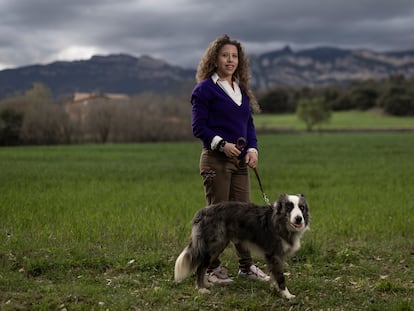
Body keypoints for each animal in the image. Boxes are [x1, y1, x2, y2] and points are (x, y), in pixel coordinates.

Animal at [175, 195, 310, 300]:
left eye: (301, 207)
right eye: (289, 207)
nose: (299, 219)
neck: (280, 222)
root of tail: (202, 211)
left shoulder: (277, 256)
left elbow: (274, 275)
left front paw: (274, 288)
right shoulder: (274, 254)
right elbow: (280, 276)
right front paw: (286, 294)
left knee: (203, 267)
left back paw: (206, 284)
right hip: (215, 245)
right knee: (201, 267)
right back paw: (201, 289)